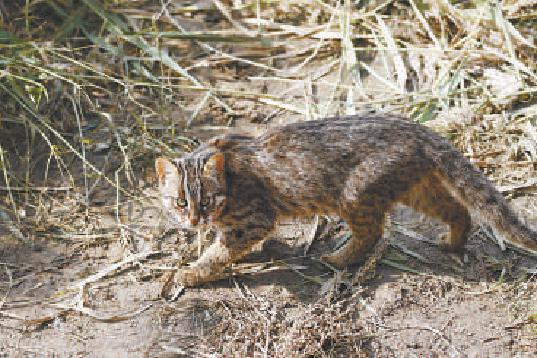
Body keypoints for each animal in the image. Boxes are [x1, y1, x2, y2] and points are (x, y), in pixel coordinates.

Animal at [156, 116, 536, 286]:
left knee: (372, 233)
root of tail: (416, 127)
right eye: (179, 202)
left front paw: (190, 273)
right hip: (415, 188)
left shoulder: (253, 219)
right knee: (459, 209)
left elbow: (218, 253)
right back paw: (452, 243)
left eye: (206, 201)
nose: (193, 221)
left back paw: (338, 259)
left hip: (355, 196)